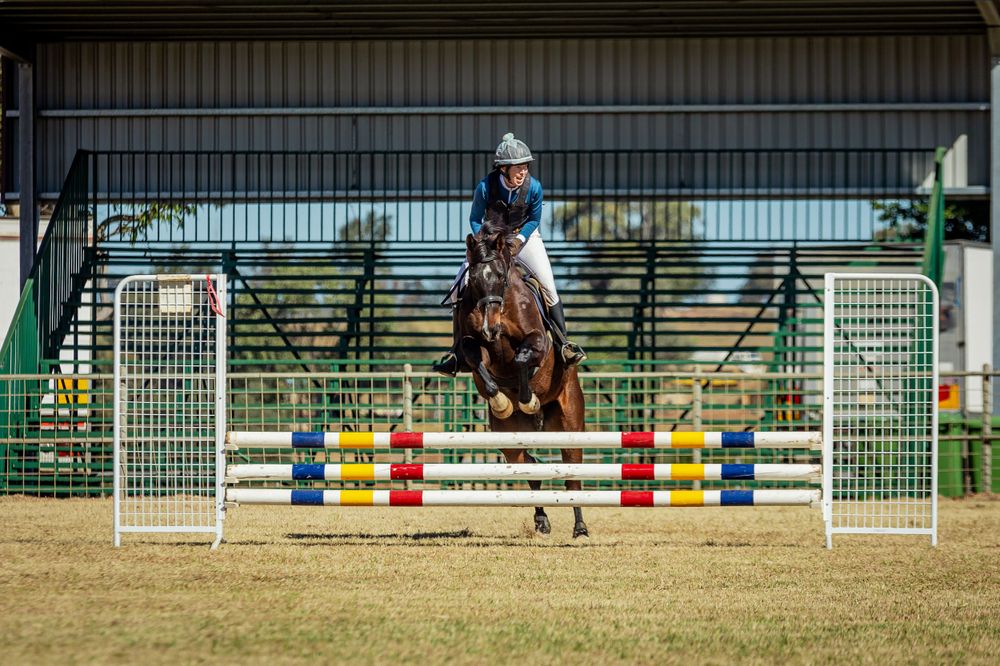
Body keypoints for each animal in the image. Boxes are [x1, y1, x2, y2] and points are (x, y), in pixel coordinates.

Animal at [456, 215, 588, 538]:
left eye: (500, 276)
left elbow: (522, 358)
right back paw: (541, 521)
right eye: (473, 279)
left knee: (573, 474)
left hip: (570, 422)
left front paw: (528, 400)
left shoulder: (537, 341)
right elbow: (476, 358)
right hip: (508, 436)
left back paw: (580, 527)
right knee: (529, 468)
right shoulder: (474, 344)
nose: (490, 327)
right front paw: (501, 401)